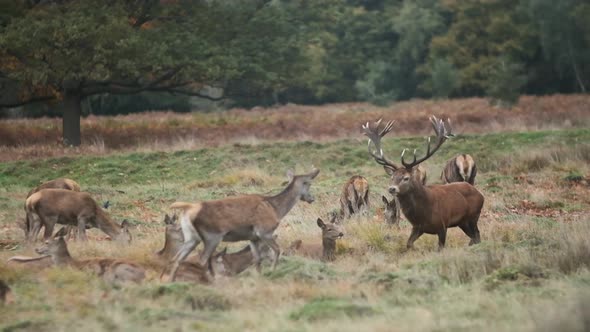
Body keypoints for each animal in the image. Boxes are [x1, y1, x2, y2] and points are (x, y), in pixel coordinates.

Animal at [164, 170, 322, 282]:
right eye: (308, 183)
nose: (312, 198)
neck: (276, 209)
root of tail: (189, 208)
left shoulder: (253, 237)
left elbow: (257, 259)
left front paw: (260, 276)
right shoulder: (265, 231)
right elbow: (277, 250)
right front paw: (272, 271)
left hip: (191, 237)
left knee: (177, 259)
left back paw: (171, 282)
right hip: (212, 236)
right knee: (202, 260)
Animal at [366, 118, 486, 250]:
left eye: (406, 178)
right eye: (392, 177)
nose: (392, 189)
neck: (423, 213)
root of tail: (480, 195)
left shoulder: (442, 225)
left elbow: (440, 248)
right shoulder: (418, 227)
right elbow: (409, 244)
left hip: (473, 216)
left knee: (477, 235)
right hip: (462, 222)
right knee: (474, 237)